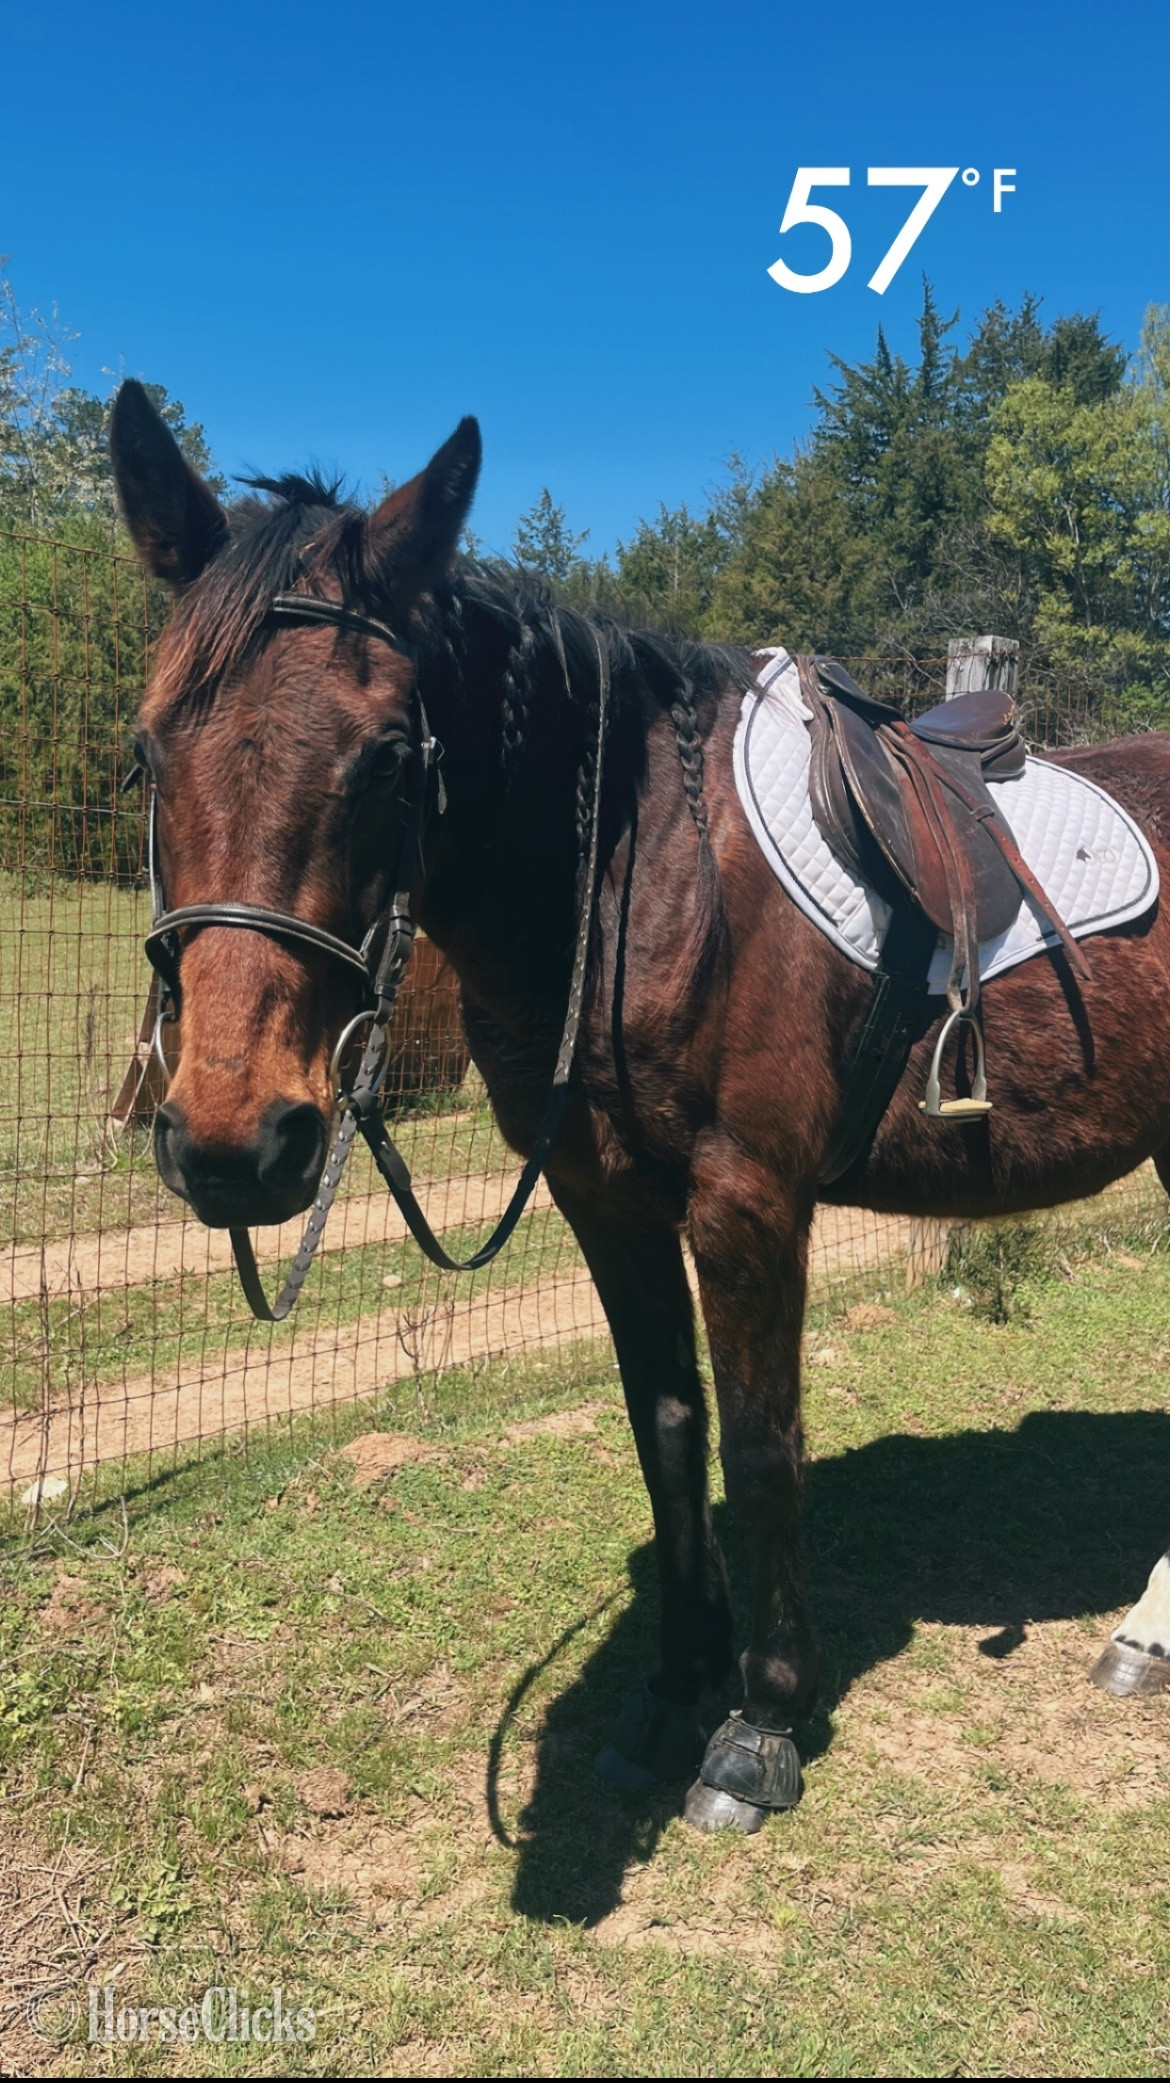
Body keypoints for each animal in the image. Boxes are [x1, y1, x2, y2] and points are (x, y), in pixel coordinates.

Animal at [109, 379, 1170, 1835]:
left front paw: (760, 1723)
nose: (231, 1142)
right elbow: (668, 1431)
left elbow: (764, 1445)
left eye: (387, 758)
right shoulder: (604, 1195)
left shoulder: (748, 1194)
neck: (639, 869)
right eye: (150, 748)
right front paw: (673, 1689)